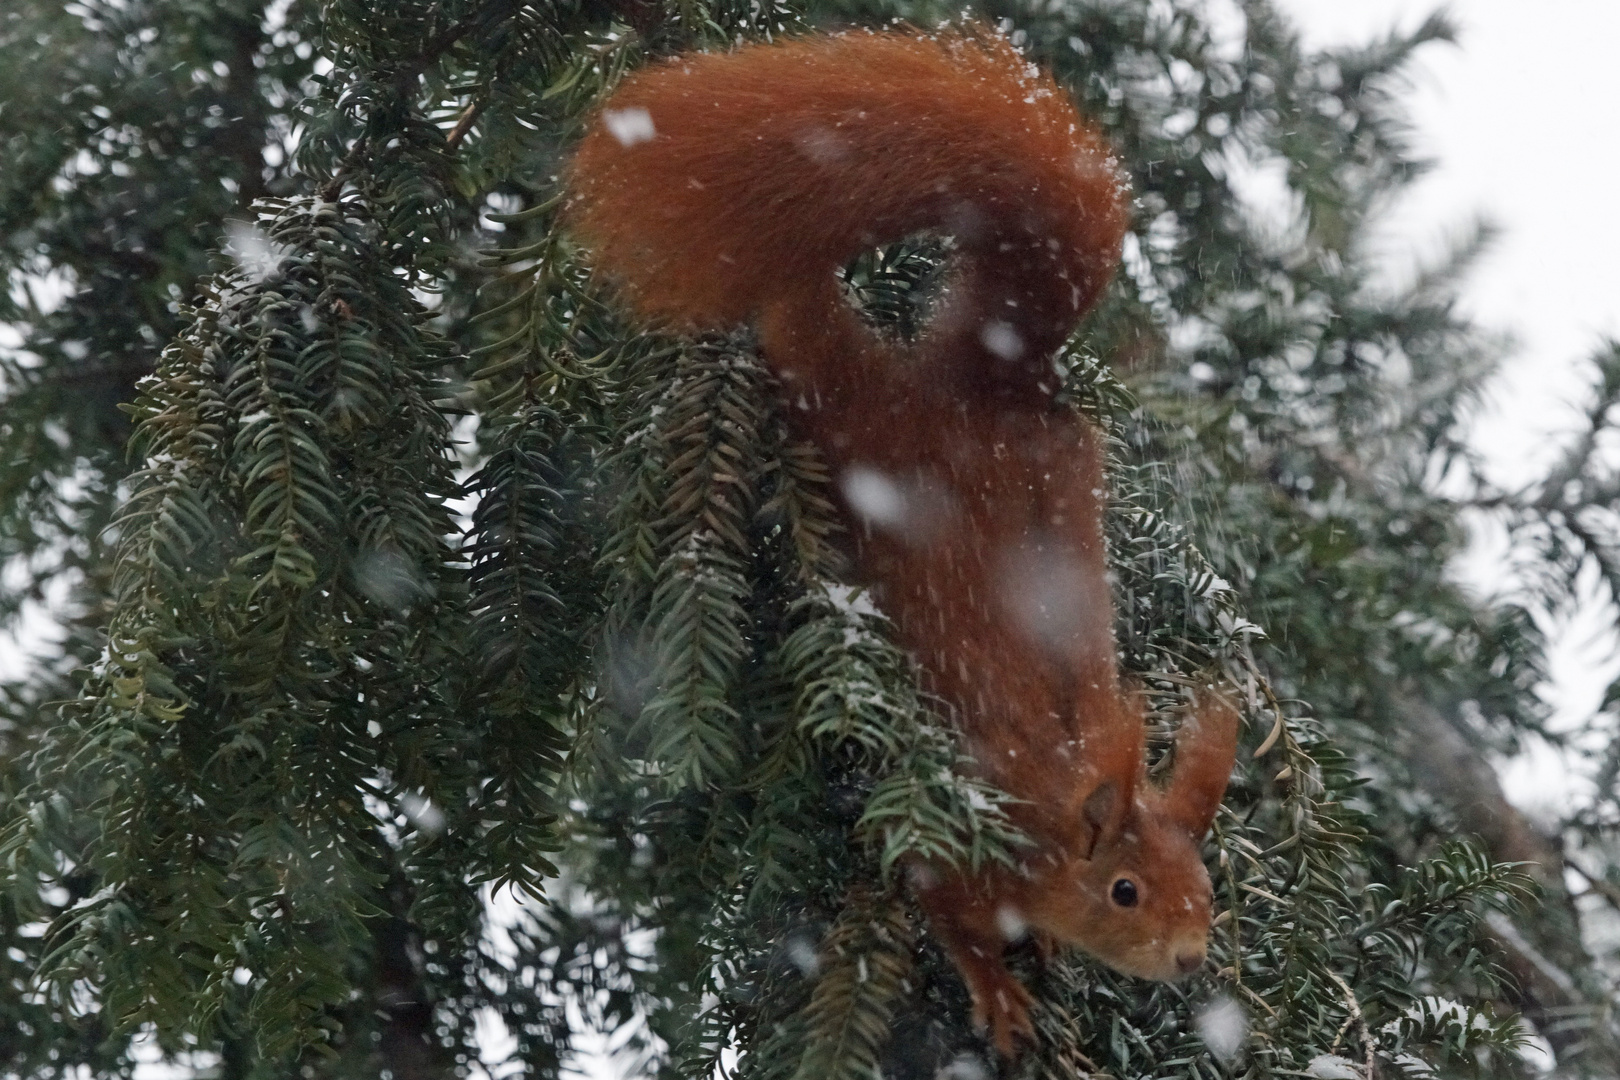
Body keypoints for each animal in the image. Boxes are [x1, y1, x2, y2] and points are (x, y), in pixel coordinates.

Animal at [567, 27, 1237, 1055]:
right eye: (1125, 891)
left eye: (1206, 888)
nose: (1194, 960)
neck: (1050, 816)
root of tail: (989, 379)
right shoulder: (954, 852)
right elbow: (941, 911)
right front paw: (996, 990)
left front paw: (1042, 953)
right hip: (846, 417)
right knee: (801, 333)